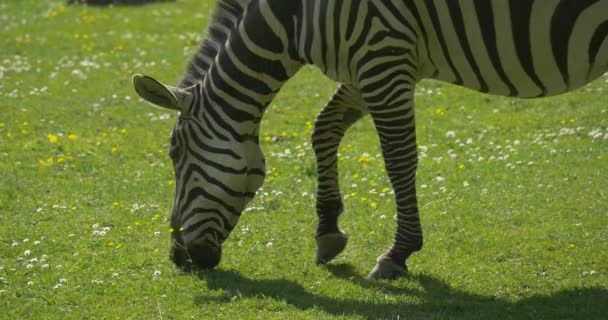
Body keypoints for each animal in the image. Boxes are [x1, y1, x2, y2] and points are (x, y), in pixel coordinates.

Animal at [134, 0, 608, 278]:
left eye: (175, 155)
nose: (178, 259)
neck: (295, 17)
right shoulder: (368, 65)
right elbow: (324, 128)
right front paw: (328, 230)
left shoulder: (383, 56)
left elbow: (398, 160)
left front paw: (398, 254)